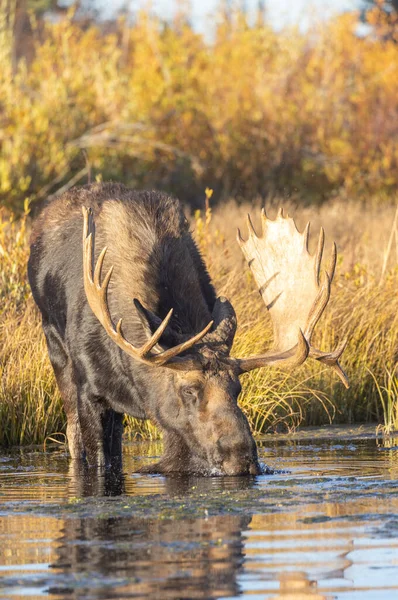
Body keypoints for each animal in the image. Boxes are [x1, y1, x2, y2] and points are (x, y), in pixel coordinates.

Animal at [28, 183, 346, 474]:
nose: (242, 457)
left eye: (238, 388)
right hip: (55, 347)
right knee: (73, 436)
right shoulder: (90, 392)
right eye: (190, 390)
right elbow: (95, 459)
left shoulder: (172, 426)